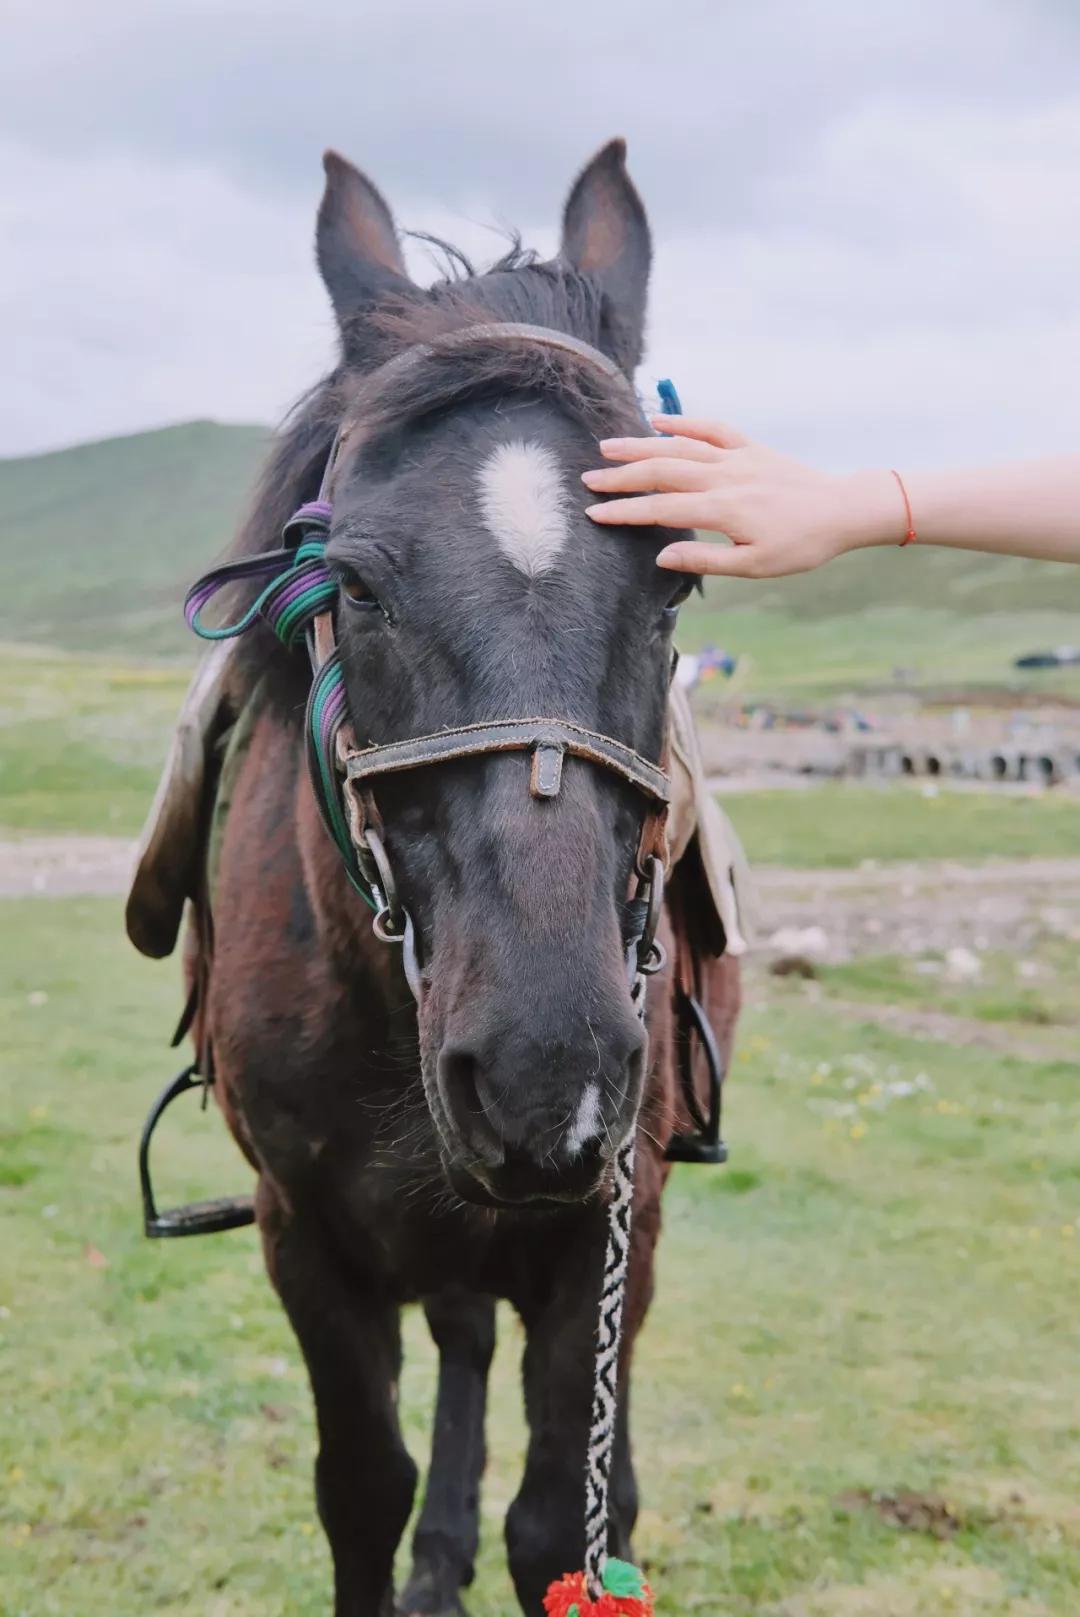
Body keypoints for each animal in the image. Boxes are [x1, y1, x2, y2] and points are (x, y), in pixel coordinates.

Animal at [128, 139, 743, 1617]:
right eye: (351, 585)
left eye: (676, 587)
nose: (543, 1067)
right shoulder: (305, 1235)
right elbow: (362, 1487)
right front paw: (418, 1545)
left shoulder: (607, 1220)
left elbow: (562, 1520)